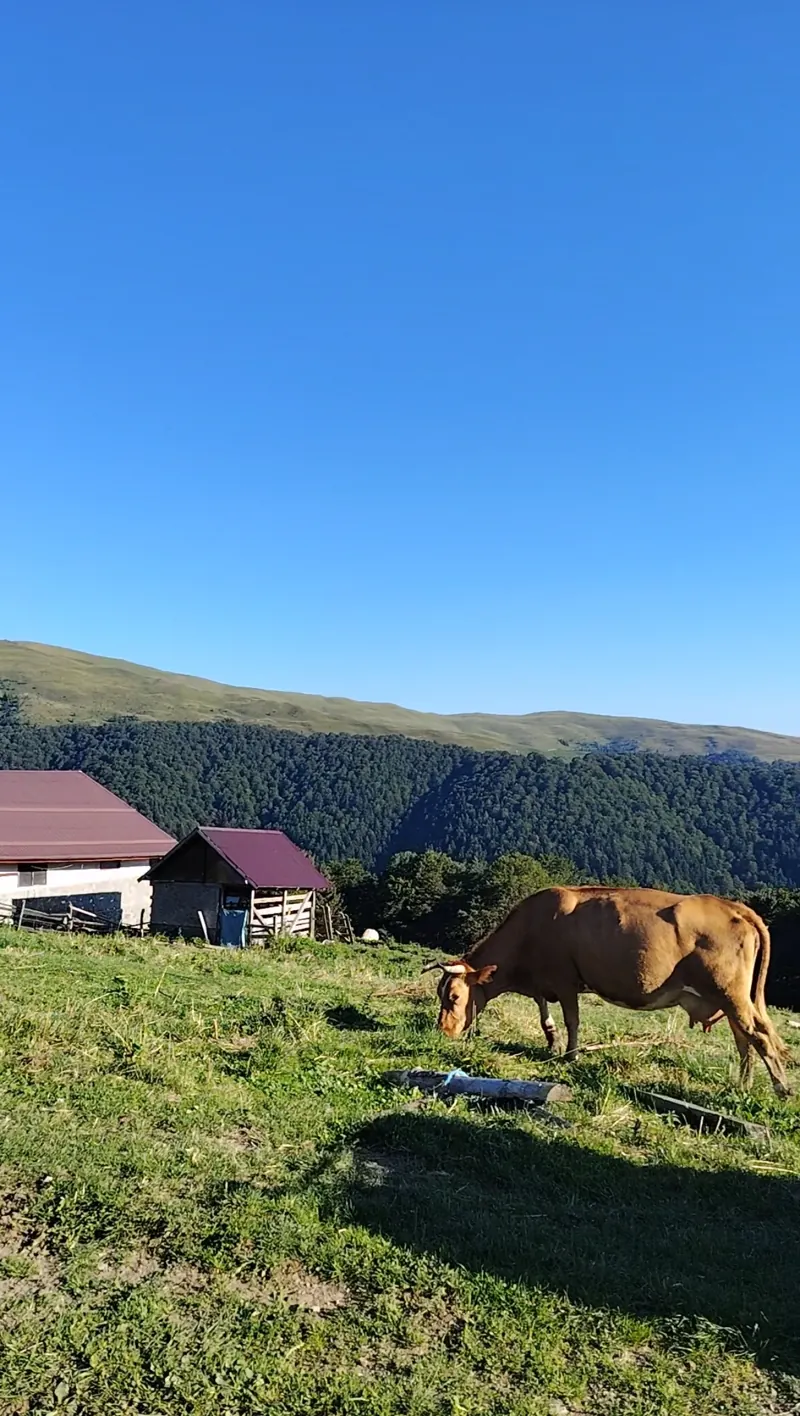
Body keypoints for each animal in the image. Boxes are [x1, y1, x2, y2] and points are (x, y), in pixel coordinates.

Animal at [423, 885, 790, 1097]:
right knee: (744, 1039)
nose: (443, 1031)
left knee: (759, 1036)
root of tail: (734, 907)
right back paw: (742, 1086)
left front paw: (570, 1055)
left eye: (454, 997)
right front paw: (552, 1044)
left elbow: (572, 1020)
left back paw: (781, 1088)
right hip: (730, 999)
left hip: (731, 993)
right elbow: (546, 1018)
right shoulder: (543, 983)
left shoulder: (565, 980)